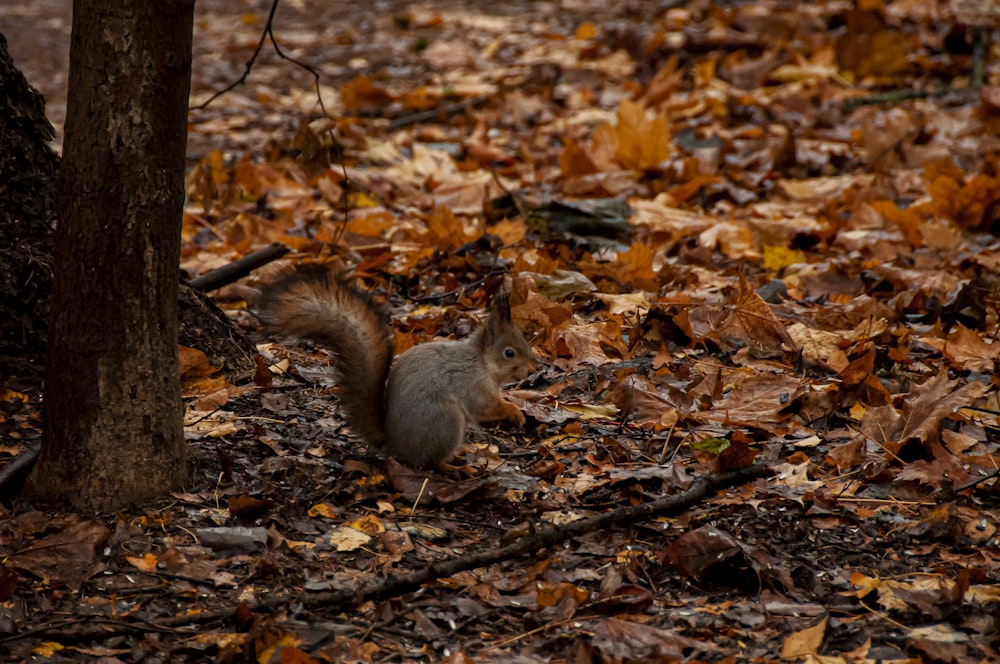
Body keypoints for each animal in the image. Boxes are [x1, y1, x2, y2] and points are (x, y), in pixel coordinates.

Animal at [260, 264, 540, 472]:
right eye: (509, 353)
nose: (531, 370)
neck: (482, 362)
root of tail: (397, 446)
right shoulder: (469, 382)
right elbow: (484, 406)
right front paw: (514, 411)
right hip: (444, 420)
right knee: (431, 462)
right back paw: (455, 468)